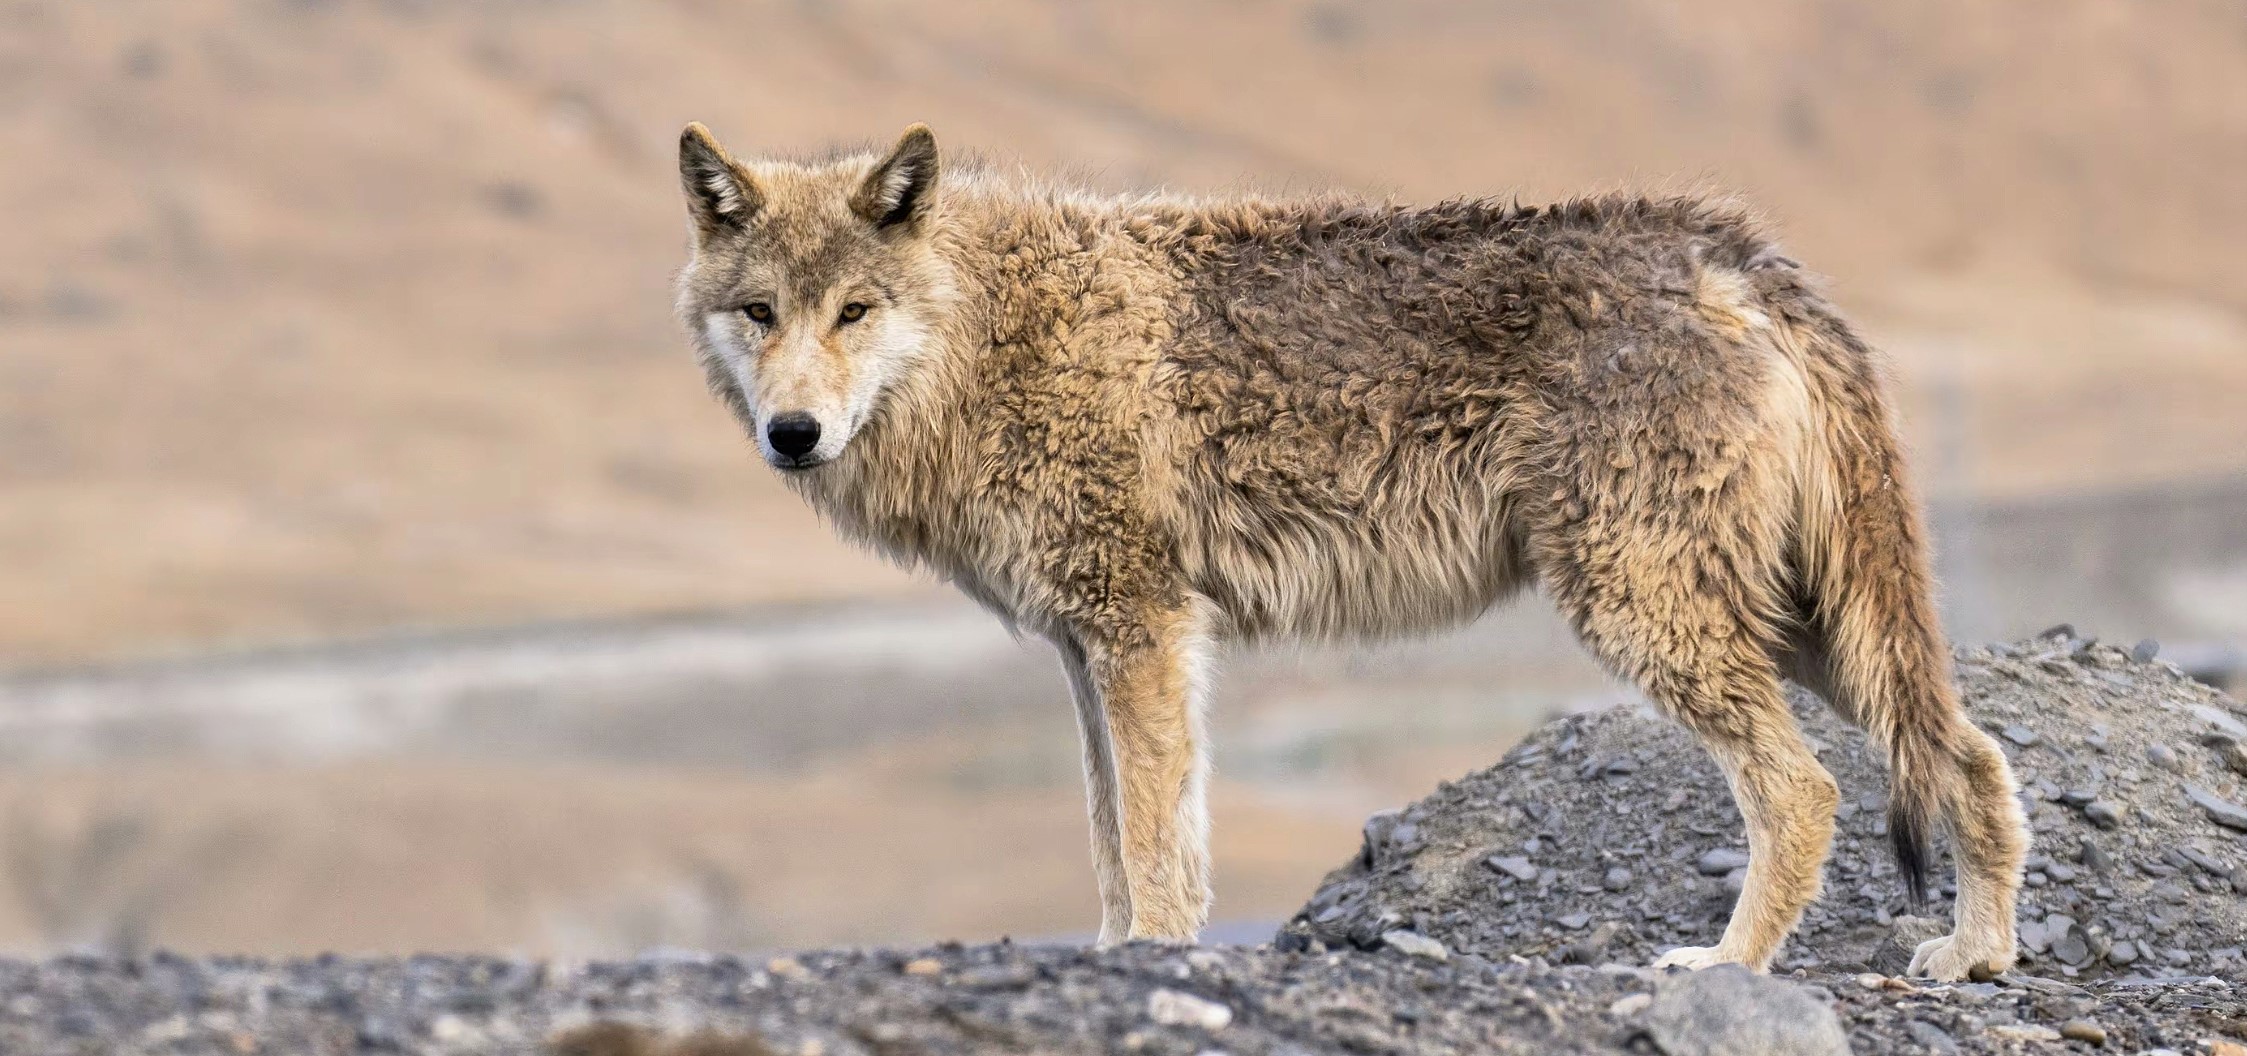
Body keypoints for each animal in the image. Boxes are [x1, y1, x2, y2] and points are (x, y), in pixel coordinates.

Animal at [670, 122, 2028, 979]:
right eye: (760, 314)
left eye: (856, 312)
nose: (794, 434)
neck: (988, 334)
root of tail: (1727, 247)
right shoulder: (1087, 645)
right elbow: (1115, 830)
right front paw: (1117, 957)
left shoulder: (1142, 627)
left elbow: (1154, 836)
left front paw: (1153, 959)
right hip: (1797, 626)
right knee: (1971, 756)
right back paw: (1975, 956)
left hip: (1657, 615)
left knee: (1805, 792)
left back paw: (1727, 970)